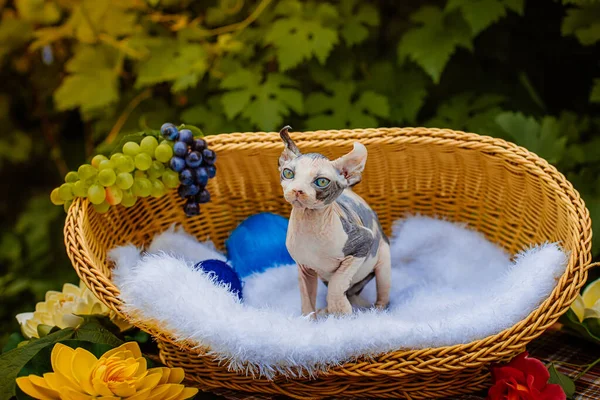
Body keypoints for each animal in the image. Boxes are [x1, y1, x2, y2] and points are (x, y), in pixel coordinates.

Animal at [278, 126, 392, 318]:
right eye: (288, 173)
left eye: (321, 181)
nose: (297, 190)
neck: (310, 225)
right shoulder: (304, 267)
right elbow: (306, 298)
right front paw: (309, 320)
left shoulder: (363, 242)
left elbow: (337, 283)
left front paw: (340, 311)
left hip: (383, 259)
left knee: (382, 295)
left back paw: (374, 312)